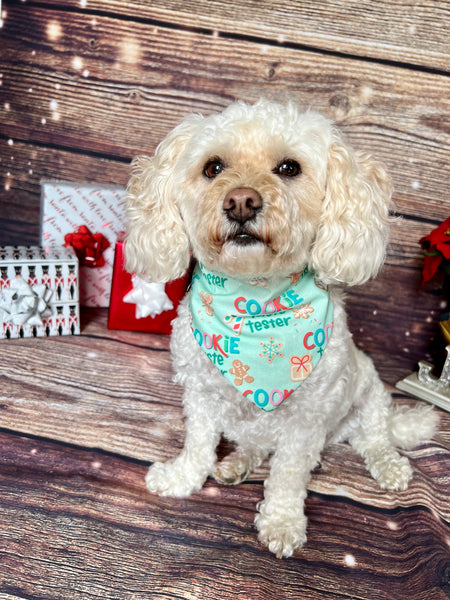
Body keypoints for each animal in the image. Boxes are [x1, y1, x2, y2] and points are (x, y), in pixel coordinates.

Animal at [125, 97, 438, 556]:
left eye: (289, 168)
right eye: (213, 168)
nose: (241, 201)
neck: (254, 301)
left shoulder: (305, 422)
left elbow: (289, 475)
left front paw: (283, 523)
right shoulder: (200, 397)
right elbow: (198, 445)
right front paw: (181, 478)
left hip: (368, 396)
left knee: (375, 439)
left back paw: (390, 466)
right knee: (259, 443)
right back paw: (238, 462)